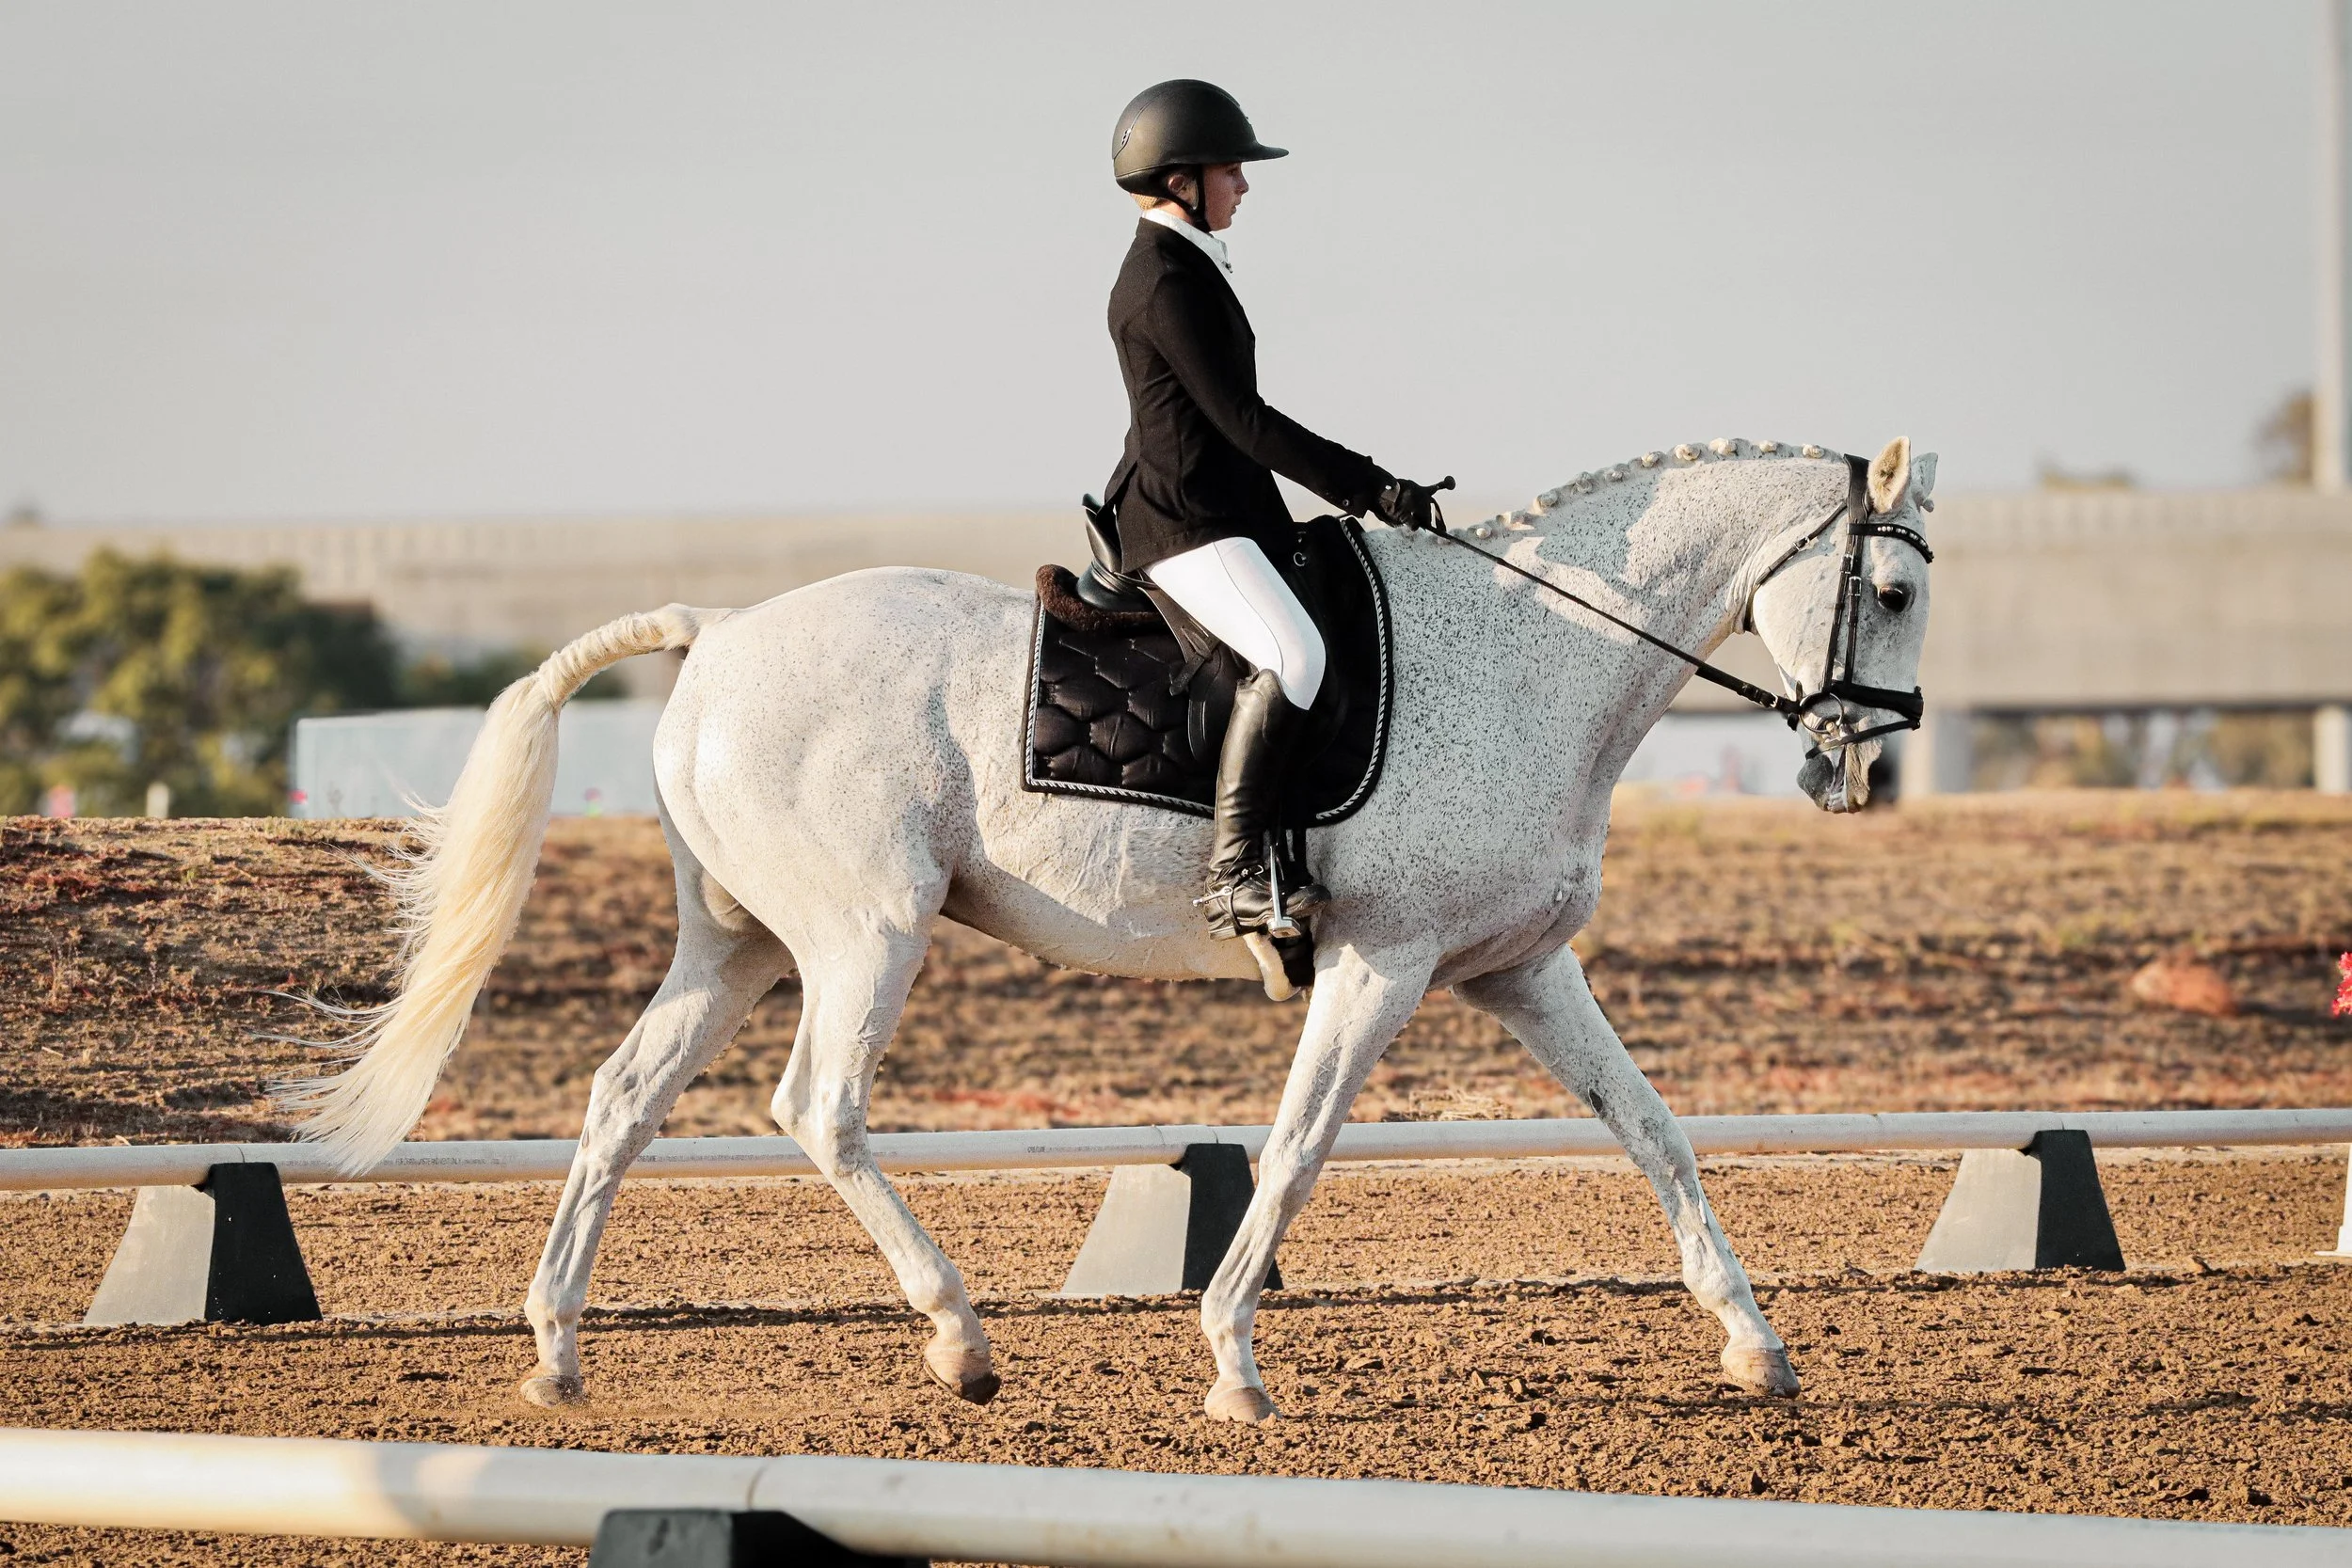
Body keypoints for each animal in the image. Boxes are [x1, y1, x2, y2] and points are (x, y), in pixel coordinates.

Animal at [282, 433, 1935, 1424]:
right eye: (1899, 584)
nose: (1857, 770)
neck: (1538, 649)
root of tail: (719, 632)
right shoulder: (1382, 960)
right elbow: (1301, 1143)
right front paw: (1233, 1361)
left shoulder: (1518, 965)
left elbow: (1656, 1129)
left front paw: (1756, 1345)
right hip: (866, 931)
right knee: (819, 1106)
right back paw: (958, 1334)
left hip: (739, 943)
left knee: (623, 1098)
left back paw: (558, 1353)